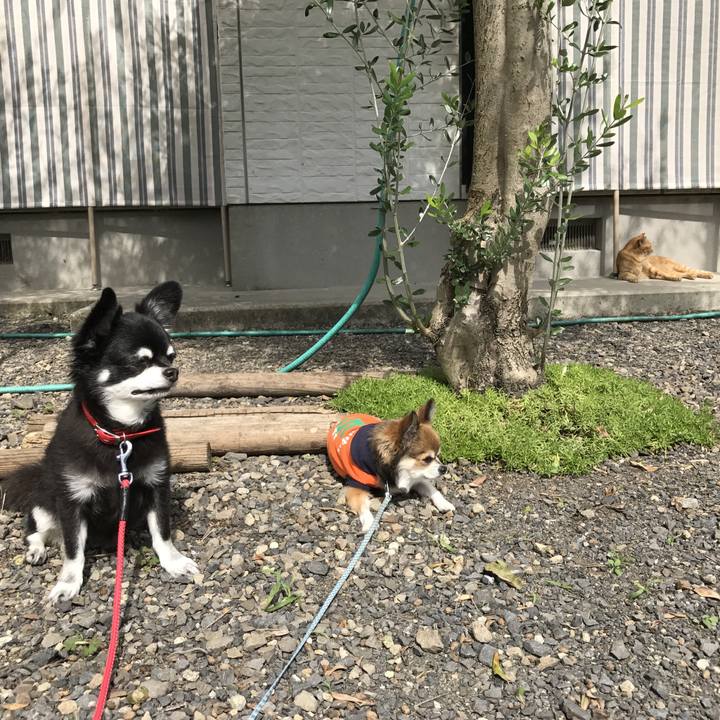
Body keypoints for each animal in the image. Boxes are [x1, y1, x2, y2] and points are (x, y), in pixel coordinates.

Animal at [0, 281, 198, 603]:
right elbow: (73, 550)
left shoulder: (156, 486)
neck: (120, 433)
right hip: (44, 504)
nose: (173, 371)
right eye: (139, 362)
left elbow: (162, 531)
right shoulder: (72, 501)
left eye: (171, 357)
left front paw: (173, 561)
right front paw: (68, 583)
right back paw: (36, 550)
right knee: (35, 530)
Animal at [326, 399, 454, 531]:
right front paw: (370, 523)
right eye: (427, 459)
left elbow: (432, 488)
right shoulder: (355, 487)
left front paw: (444, 503)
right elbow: (363, 506)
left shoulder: (416, 478)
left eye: (438, 455)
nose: (444, 468)